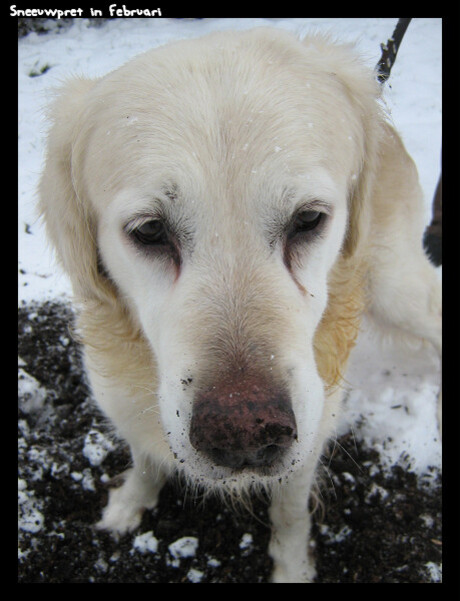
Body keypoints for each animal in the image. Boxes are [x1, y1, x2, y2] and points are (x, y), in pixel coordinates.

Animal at [39, 28, 442, 580]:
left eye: (309, 219)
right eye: (149, 230)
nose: (245, 434)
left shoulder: (312, 433)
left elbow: (290, 512)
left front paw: (291, 567)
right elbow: (144, 460)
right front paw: (127, 506)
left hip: (397, 285)